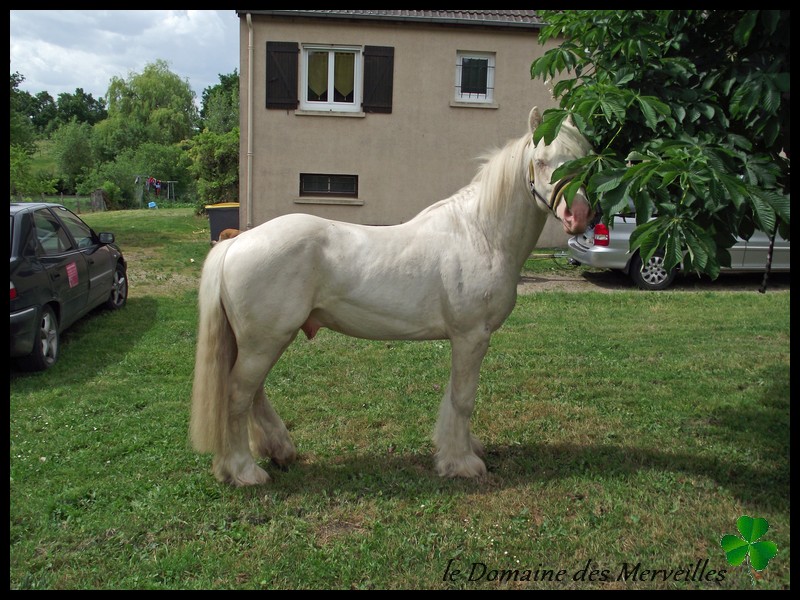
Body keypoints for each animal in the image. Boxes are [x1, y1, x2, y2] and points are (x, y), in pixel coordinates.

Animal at [192, 105, 592, 486]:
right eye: (542, 160)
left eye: (583, 157)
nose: (578, 216)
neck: (480, 233)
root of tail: (236, 242)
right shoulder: (471, 336)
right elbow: (463, 399)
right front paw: (462, 463)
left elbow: (453, 397)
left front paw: (459, 450)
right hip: (264, 341)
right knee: (237, 397)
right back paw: (244, 471)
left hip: (264, 341)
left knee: (254, 394)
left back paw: (279, 451)